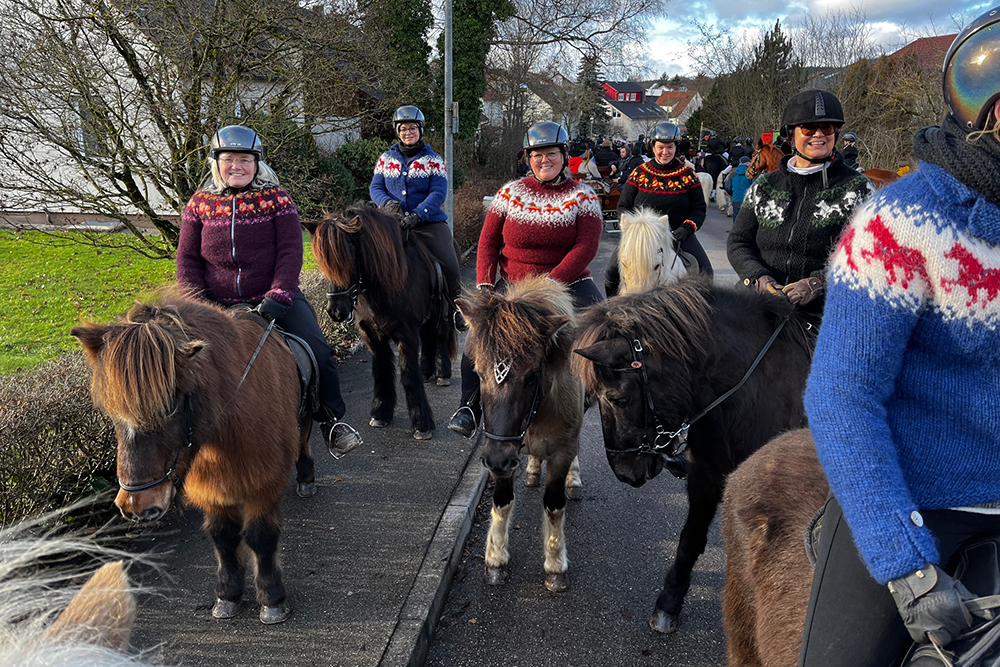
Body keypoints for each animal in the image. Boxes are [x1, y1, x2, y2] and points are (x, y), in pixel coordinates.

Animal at [72, 294, 314, 628]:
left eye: (170, 406)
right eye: (110, 411)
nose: (137, 506)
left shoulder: (262, 485)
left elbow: (261, 536)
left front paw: (272, 599)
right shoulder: (213, 489)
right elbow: (223, 537)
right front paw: (227, 596)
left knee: (304, 440)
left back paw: (306, 478)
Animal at [304, 206, 458, 440]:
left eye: (351, 255)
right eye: (322, 262)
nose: (336, 312)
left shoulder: (406, 334)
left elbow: (408, 375)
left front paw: (421, 424)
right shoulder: (372, 336)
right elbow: (382, 372)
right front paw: (380, 413)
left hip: (442, 312)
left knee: (440, 336)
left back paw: (442, 373)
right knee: (428, 337)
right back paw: (427, 369)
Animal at [460, 276, 584, 588]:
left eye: (531, 377)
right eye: (478, 373)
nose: (497, 459)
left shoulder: (562, 450)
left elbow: (554, 504)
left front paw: (555, 565)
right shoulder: (502, 454)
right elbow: (502, 500)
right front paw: (495, 560)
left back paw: (574, 480)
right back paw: (532, 469)